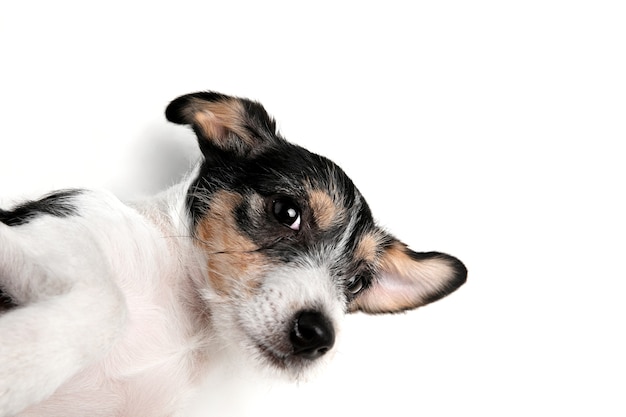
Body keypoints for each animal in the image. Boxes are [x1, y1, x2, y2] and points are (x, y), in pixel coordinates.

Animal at [0, 92, 466, 416]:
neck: (190, 318)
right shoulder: (53, 227)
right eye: (287, 212)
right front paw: (20, 364)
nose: (319, 335)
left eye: (356, 282)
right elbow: (108, 302)